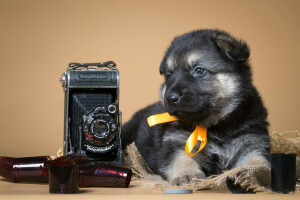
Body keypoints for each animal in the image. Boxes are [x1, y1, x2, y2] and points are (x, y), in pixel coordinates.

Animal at [120, 29, 270, 186]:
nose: (170, 98)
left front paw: (256, 173)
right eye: (169, 74)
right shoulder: (175, 143)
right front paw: (187, 173)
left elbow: (257, 159)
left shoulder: (252, 141)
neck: (216, 125)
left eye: (199, 70)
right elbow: (180, 158)